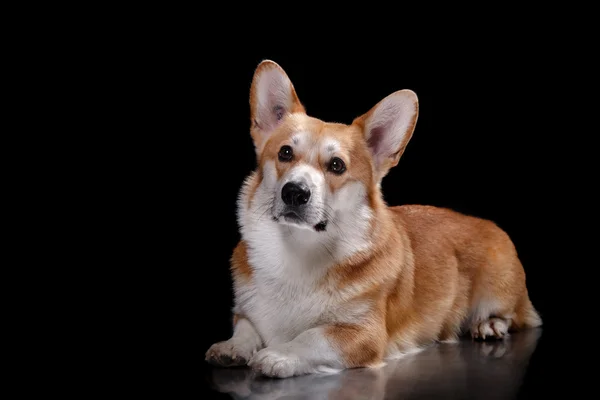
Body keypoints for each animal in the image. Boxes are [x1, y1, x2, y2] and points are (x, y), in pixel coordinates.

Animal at [206, 59, 544, 378]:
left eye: (337, 165)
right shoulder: (247, 311)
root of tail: (486, 223)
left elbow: (312, 336)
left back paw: (489, 324)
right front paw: (233, 346)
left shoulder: (362, 334)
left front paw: (278, 355)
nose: (294, 192)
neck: (300, 251)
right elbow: (246, 326)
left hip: (499, 290)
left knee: (514, 315)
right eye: (285, 153)